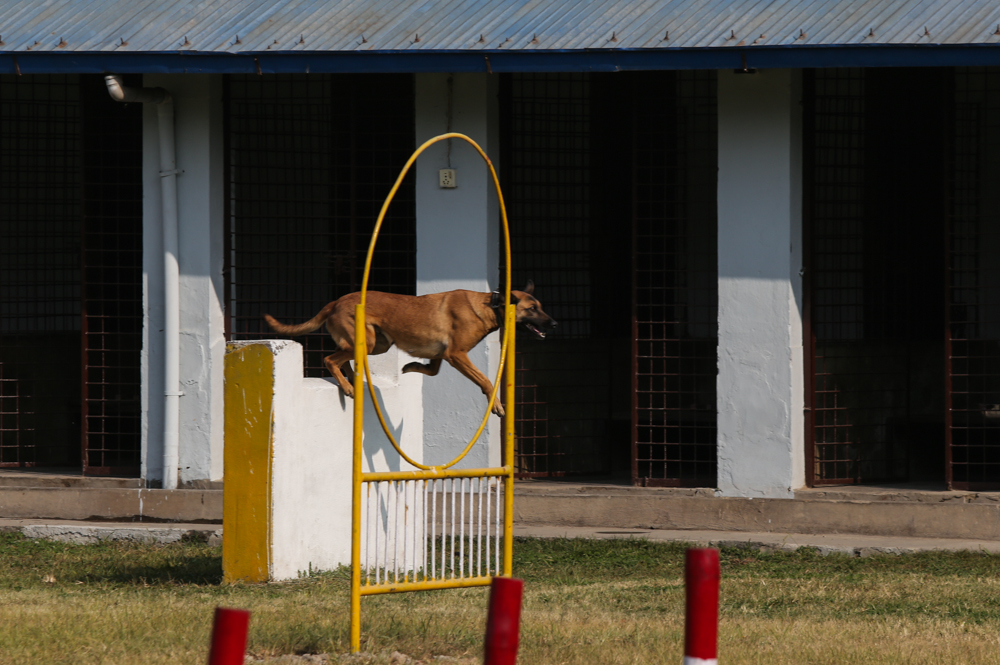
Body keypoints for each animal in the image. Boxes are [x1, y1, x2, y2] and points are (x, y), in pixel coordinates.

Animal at [264, 280, 556, 416]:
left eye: (540, 306)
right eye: (532, 309)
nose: (554, 323)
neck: (490, 306)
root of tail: (335, 301)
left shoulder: (441, 355)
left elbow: (431, 370)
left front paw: (411, 366)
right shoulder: (456, 355)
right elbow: (485, 380)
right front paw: (495, 404)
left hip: (378, 344)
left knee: (342, 359)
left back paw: (350, 380)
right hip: (368, 341)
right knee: (329, 359)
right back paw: (346, 386)